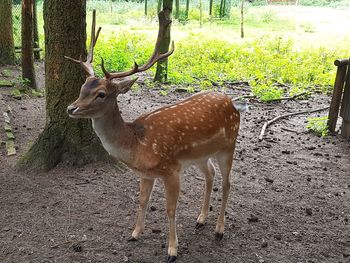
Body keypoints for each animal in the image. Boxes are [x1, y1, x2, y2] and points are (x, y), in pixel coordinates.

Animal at [65, 9, 246, 262]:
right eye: (83, 87)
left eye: (101, 94)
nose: (71, 108)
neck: (137, 145)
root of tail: (232, 103)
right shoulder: (146, 173)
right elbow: (142, 201)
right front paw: (134, 234)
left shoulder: (171, 170)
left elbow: (170, 209)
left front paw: (172, 250)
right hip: (201, 155)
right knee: (210, 175)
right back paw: (201, 219)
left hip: (229, 145)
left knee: (227, 182)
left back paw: (219, 230)